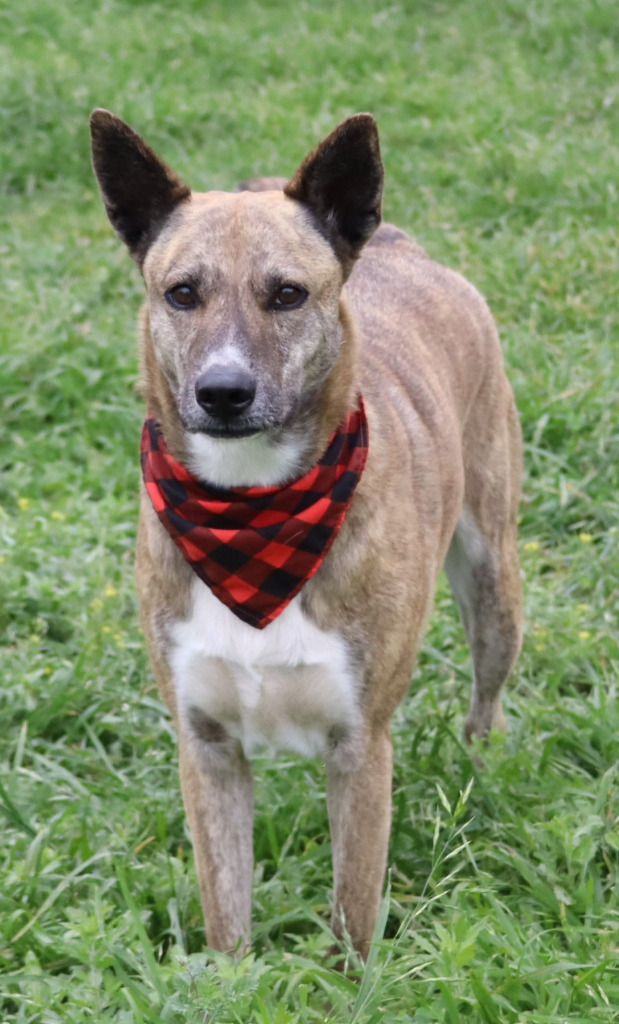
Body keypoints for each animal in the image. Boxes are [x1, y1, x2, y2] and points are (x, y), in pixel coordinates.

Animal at [88, 112, 522, 958]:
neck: (250, 512)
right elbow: (226, 915)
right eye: (181, 293)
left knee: (487, 699)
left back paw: (480, 771)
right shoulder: (205, 747)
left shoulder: (360, 746)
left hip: (494, 582)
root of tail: (397, 248)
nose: (223, 392)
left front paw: (348, 976)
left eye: (287, 294)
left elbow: (353, 914)